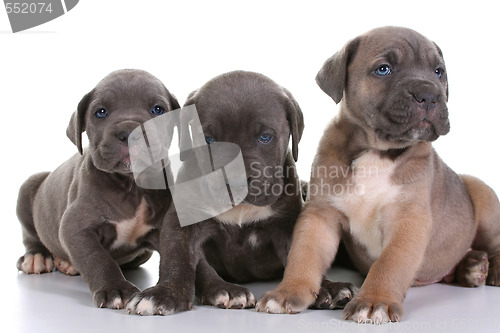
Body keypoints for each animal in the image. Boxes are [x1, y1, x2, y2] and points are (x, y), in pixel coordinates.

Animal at [16, 68, 180, 308]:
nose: (129, 131)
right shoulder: (76, 227)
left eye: (158, 110)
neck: (130, 186)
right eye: (101, 112)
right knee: (31, 235)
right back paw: (37, 257)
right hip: (29, 187)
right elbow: (97, 258)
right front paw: (115, 289)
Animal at [127, 70, 358, 314]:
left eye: (265, 137)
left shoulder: (286, 225)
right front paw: (164, 294)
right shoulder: (180, 222)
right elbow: (178, 257)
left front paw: (327, 287)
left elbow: (304, 255)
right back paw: (224, 290)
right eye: (209, 139)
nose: (236, 181)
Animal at [258, 27, 500, 322]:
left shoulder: (408, 219)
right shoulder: (320, 215)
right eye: (383, 69)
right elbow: (304, 254)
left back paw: (488, 269)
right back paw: (471, 268)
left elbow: (389, 263)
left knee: (496, 244)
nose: (429, 94)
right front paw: (288, 292)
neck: (377, 151)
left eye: (439, 72)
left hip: (481, 194)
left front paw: (375, 302)